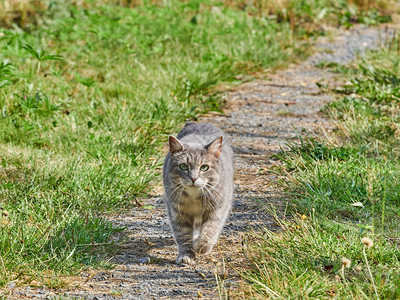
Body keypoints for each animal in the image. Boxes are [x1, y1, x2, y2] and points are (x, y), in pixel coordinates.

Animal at [162, 123, 233, 264]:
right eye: (183, 166)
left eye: (204, 167)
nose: (193, 178)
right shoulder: (177, 212)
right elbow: (183, 235)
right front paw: (186, 254)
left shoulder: (218, 208)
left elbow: (211, 228)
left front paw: (201, 246)